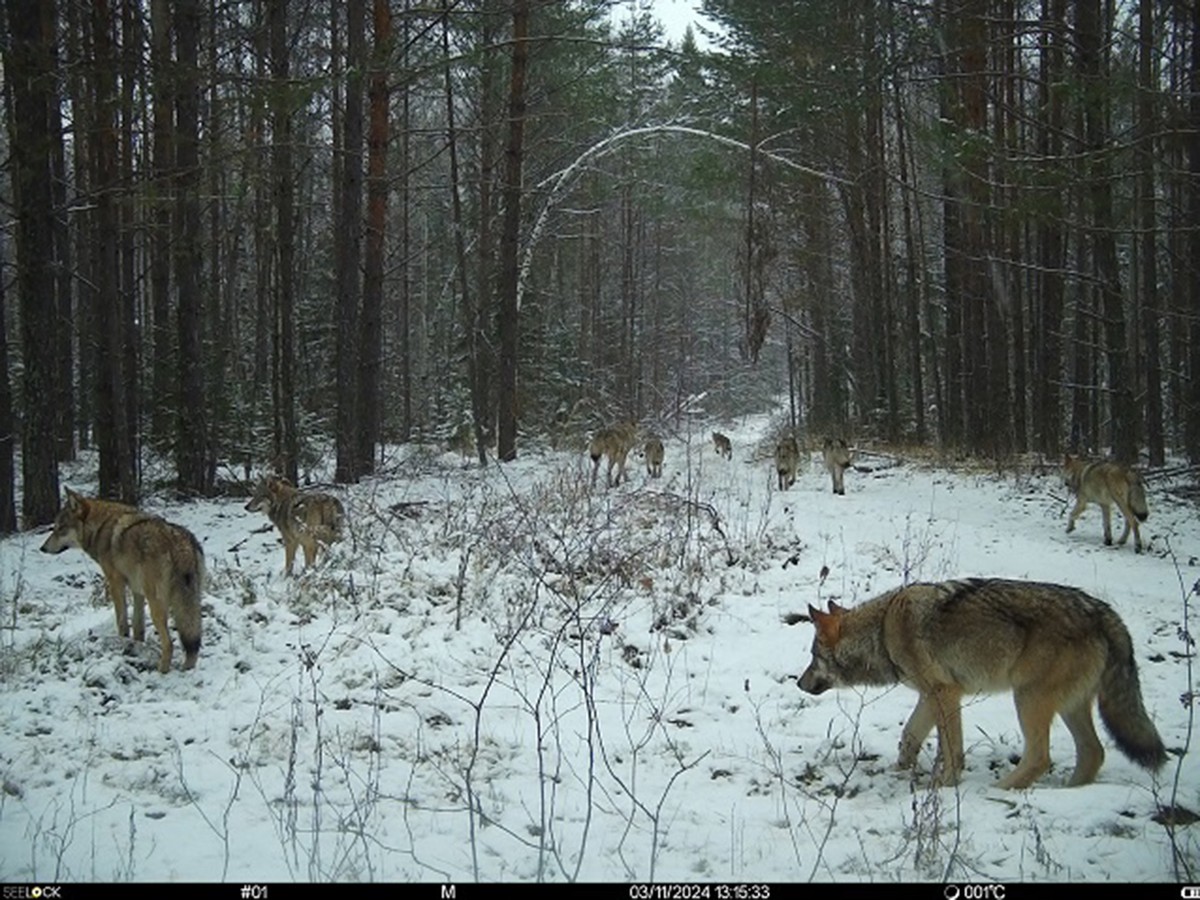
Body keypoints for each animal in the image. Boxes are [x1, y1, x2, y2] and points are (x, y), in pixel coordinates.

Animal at [40, 489, 206, 672]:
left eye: (60, 528)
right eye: (54, 528)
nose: (42, 548)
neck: (100, 528)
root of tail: (181, 545)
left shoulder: (115, 583)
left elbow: (122, 622)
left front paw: (122, 643)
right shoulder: (137, 589)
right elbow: (138, 626)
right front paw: (136, 645)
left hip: (157, 604)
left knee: (169, 643)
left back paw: (162, 669)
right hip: (189, 602)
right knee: (192, 639)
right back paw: (187, 667)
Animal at [801, 578, 1166, 787]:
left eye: (813, 655)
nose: (799, 684)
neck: (883, 629)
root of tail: (1105, 613)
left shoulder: (945, 693)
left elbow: (952, 749)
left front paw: (946, 783)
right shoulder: (932, 696)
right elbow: (909, 736)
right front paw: (900, 770)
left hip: (1028, 699)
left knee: (1040, 757)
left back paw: (998, 791)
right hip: (1068, 707)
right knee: (1093, 753)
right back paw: (1069, 793)